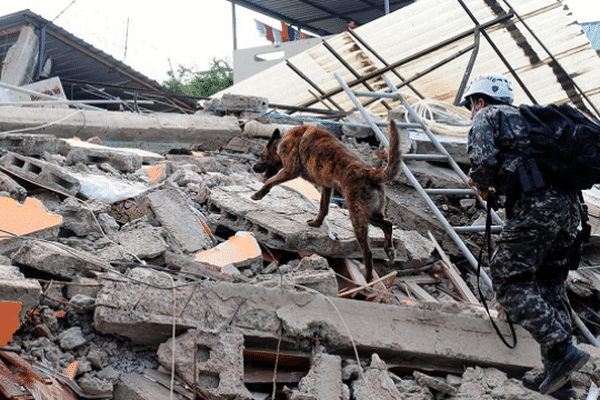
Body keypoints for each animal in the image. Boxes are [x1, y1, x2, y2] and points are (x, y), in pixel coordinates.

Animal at [251, 120, 400, 280]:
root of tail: (371, 173)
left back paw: (368, 277)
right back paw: (389, 250)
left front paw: (258, 194)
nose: (253, 167)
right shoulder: (327, 187)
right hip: (369, 214)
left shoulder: (289, 170)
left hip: (357, 218)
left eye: (261, 155)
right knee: (388, 224)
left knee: (368, 251)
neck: (281, 140)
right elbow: (323, 207)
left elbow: (270, 181)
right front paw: (316, 223)